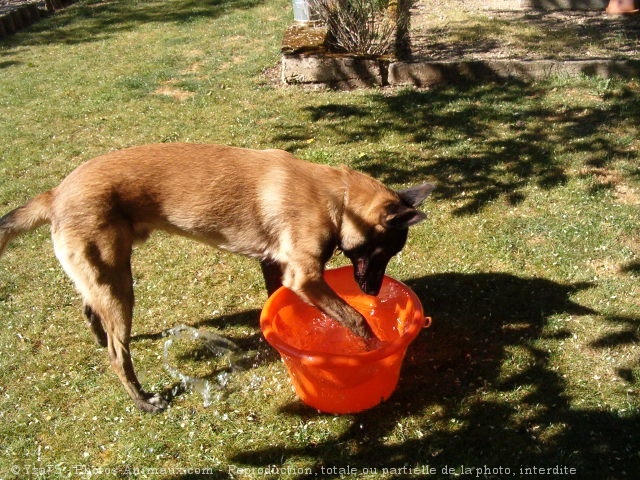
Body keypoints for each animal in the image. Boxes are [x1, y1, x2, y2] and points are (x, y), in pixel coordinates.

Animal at [1, 143, 436, 412]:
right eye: (384, 252)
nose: (374, 291)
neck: (337, 198)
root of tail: (55, 193)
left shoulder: (276, 266)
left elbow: (277, 306)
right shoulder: (306, 277)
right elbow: (354, 318)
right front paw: (371, 347)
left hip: (104, 279)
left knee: (91, 314)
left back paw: (100, 341)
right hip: (119, 284)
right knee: (117, 353)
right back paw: (142, 401)